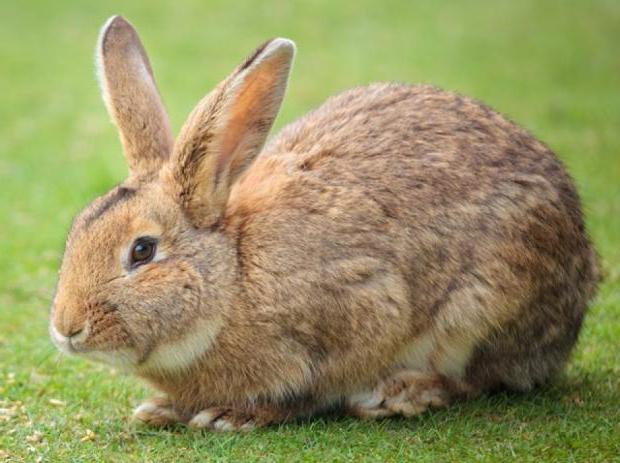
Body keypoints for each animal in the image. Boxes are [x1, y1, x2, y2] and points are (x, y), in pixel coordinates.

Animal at [49, 14, 600, 434]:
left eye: (142, 251)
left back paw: (403, 394)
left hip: (485, 307)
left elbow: (313, 389)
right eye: (76, 233)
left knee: (480, 378)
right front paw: (161, 410)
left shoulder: (362, 308)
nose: (66, 328)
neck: (234, 273)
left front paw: (234, 416)